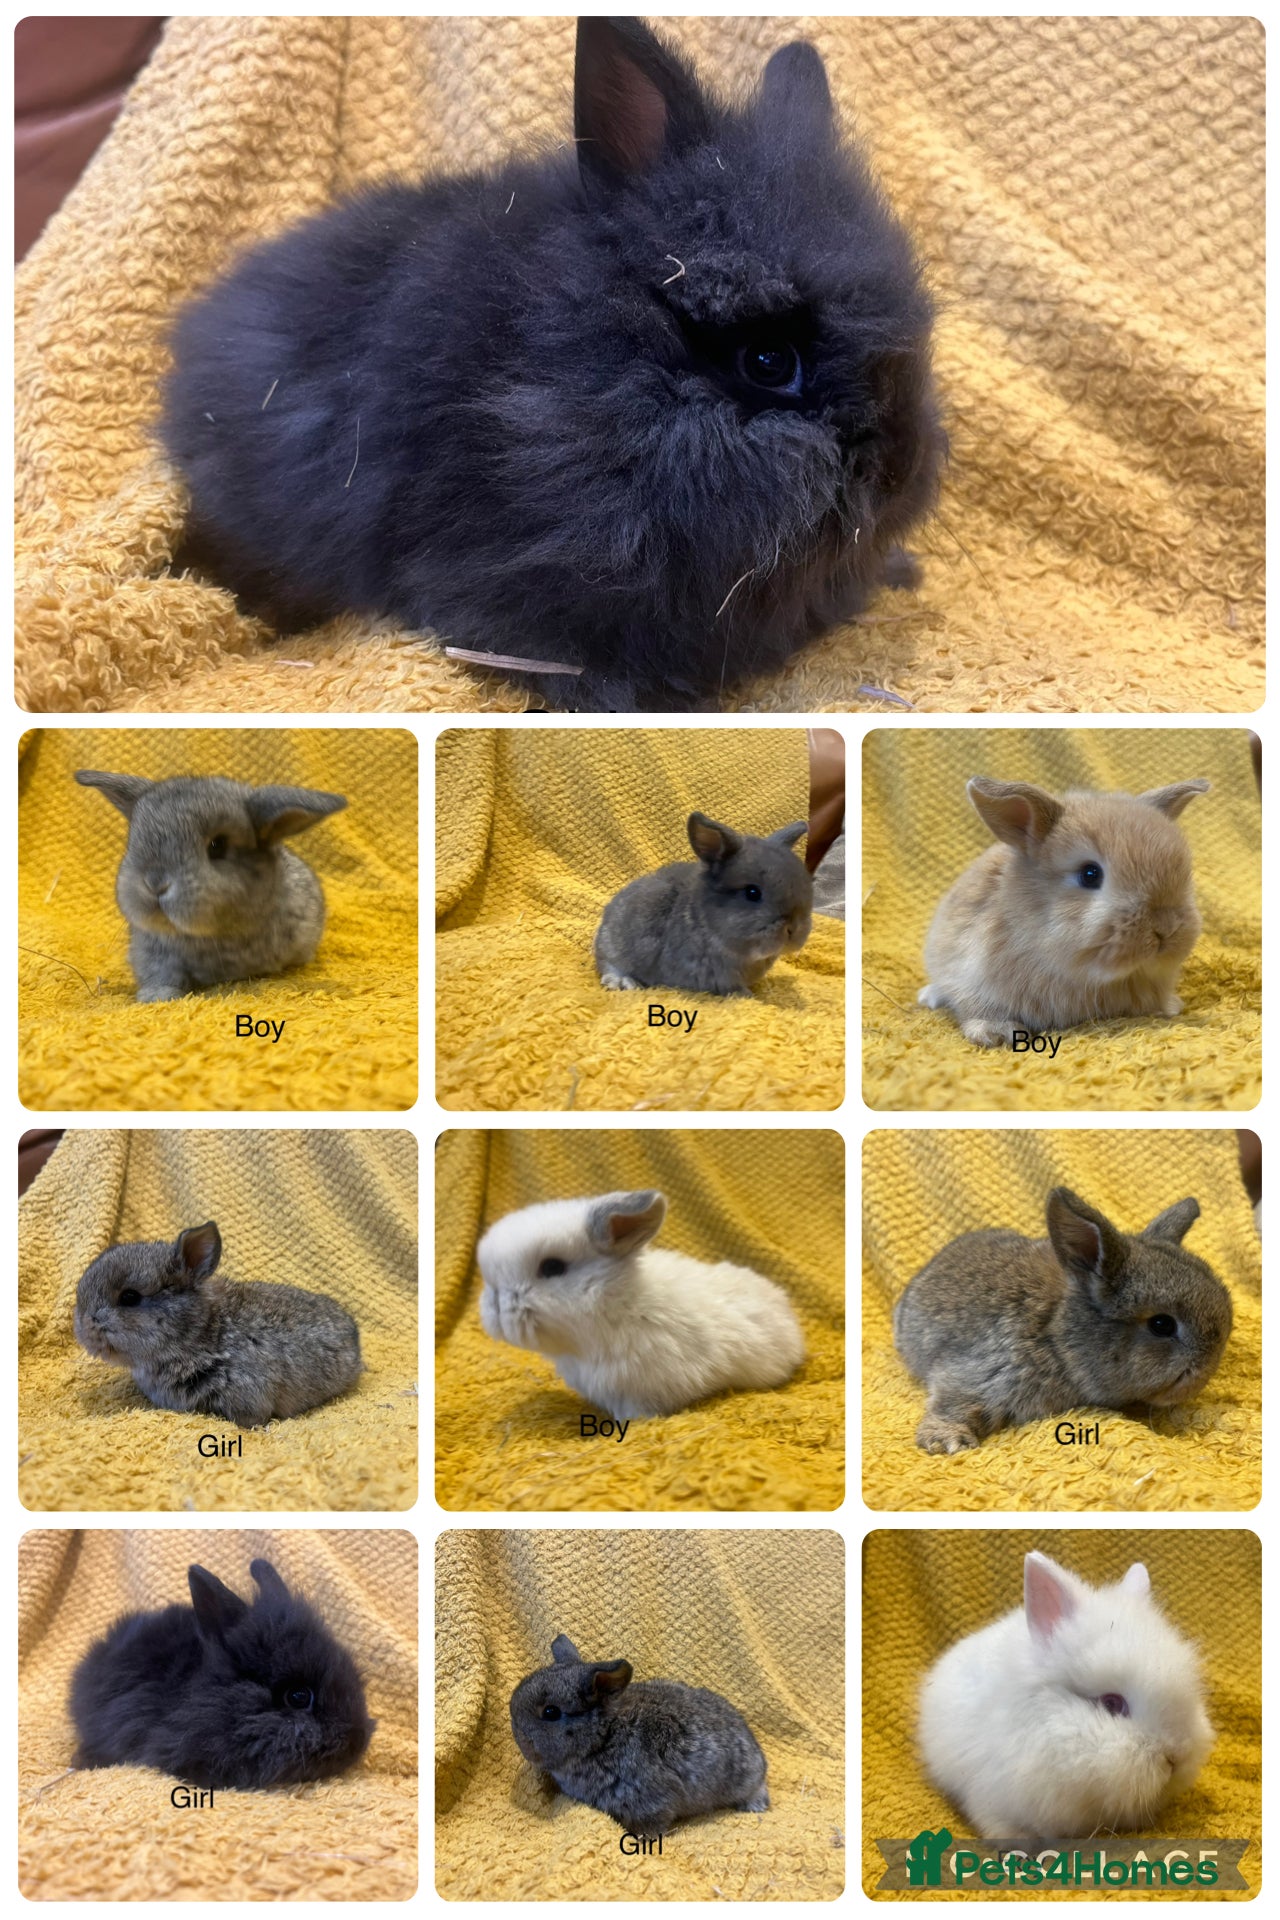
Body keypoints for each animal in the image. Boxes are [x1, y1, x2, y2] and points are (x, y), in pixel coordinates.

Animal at [75, 769, 347, 1002]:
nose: (155, 883)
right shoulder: (152, 953)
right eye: (134, 838)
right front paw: (156, 996)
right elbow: (161, 975)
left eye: (217, 846)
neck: (209, 935)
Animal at [595, 811, 813, 995]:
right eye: (752, 893)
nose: (794, 929)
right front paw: (746, 995)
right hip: (614, 946)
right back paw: (623, 982)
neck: (705, 924)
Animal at [893, 1188, 1233, 1454]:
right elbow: (955, 1402)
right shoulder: (980, 1374)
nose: (1207, 1369)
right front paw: (947, 1442)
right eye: (1162, 1325)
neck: (1056, 1335)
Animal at [918, 776, 1210, 1047]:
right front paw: (997, 1034)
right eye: (1090, 874)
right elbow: (977, 1007)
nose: (1166, 927)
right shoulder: (970, 974)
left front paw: (1171, 1007)